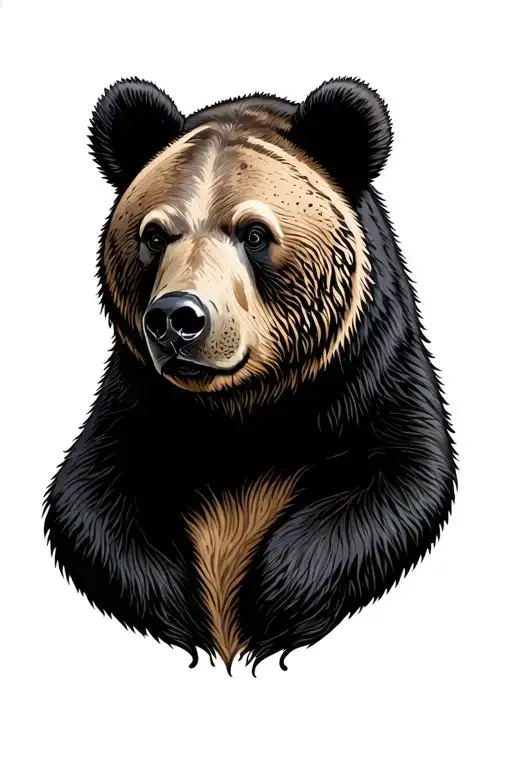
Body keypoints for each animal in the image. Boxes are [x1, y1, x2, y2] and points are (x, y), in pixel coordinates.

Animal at [44, 76, 457, 673]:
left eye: (254, 234)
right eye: (155, 235)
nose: (177, 318)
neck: (244, 411)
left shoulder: (369, 381)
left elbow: (399, 477)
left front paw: (271, 607)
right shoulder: (138, 403)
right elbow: (90, 502)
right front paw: (189, 614)